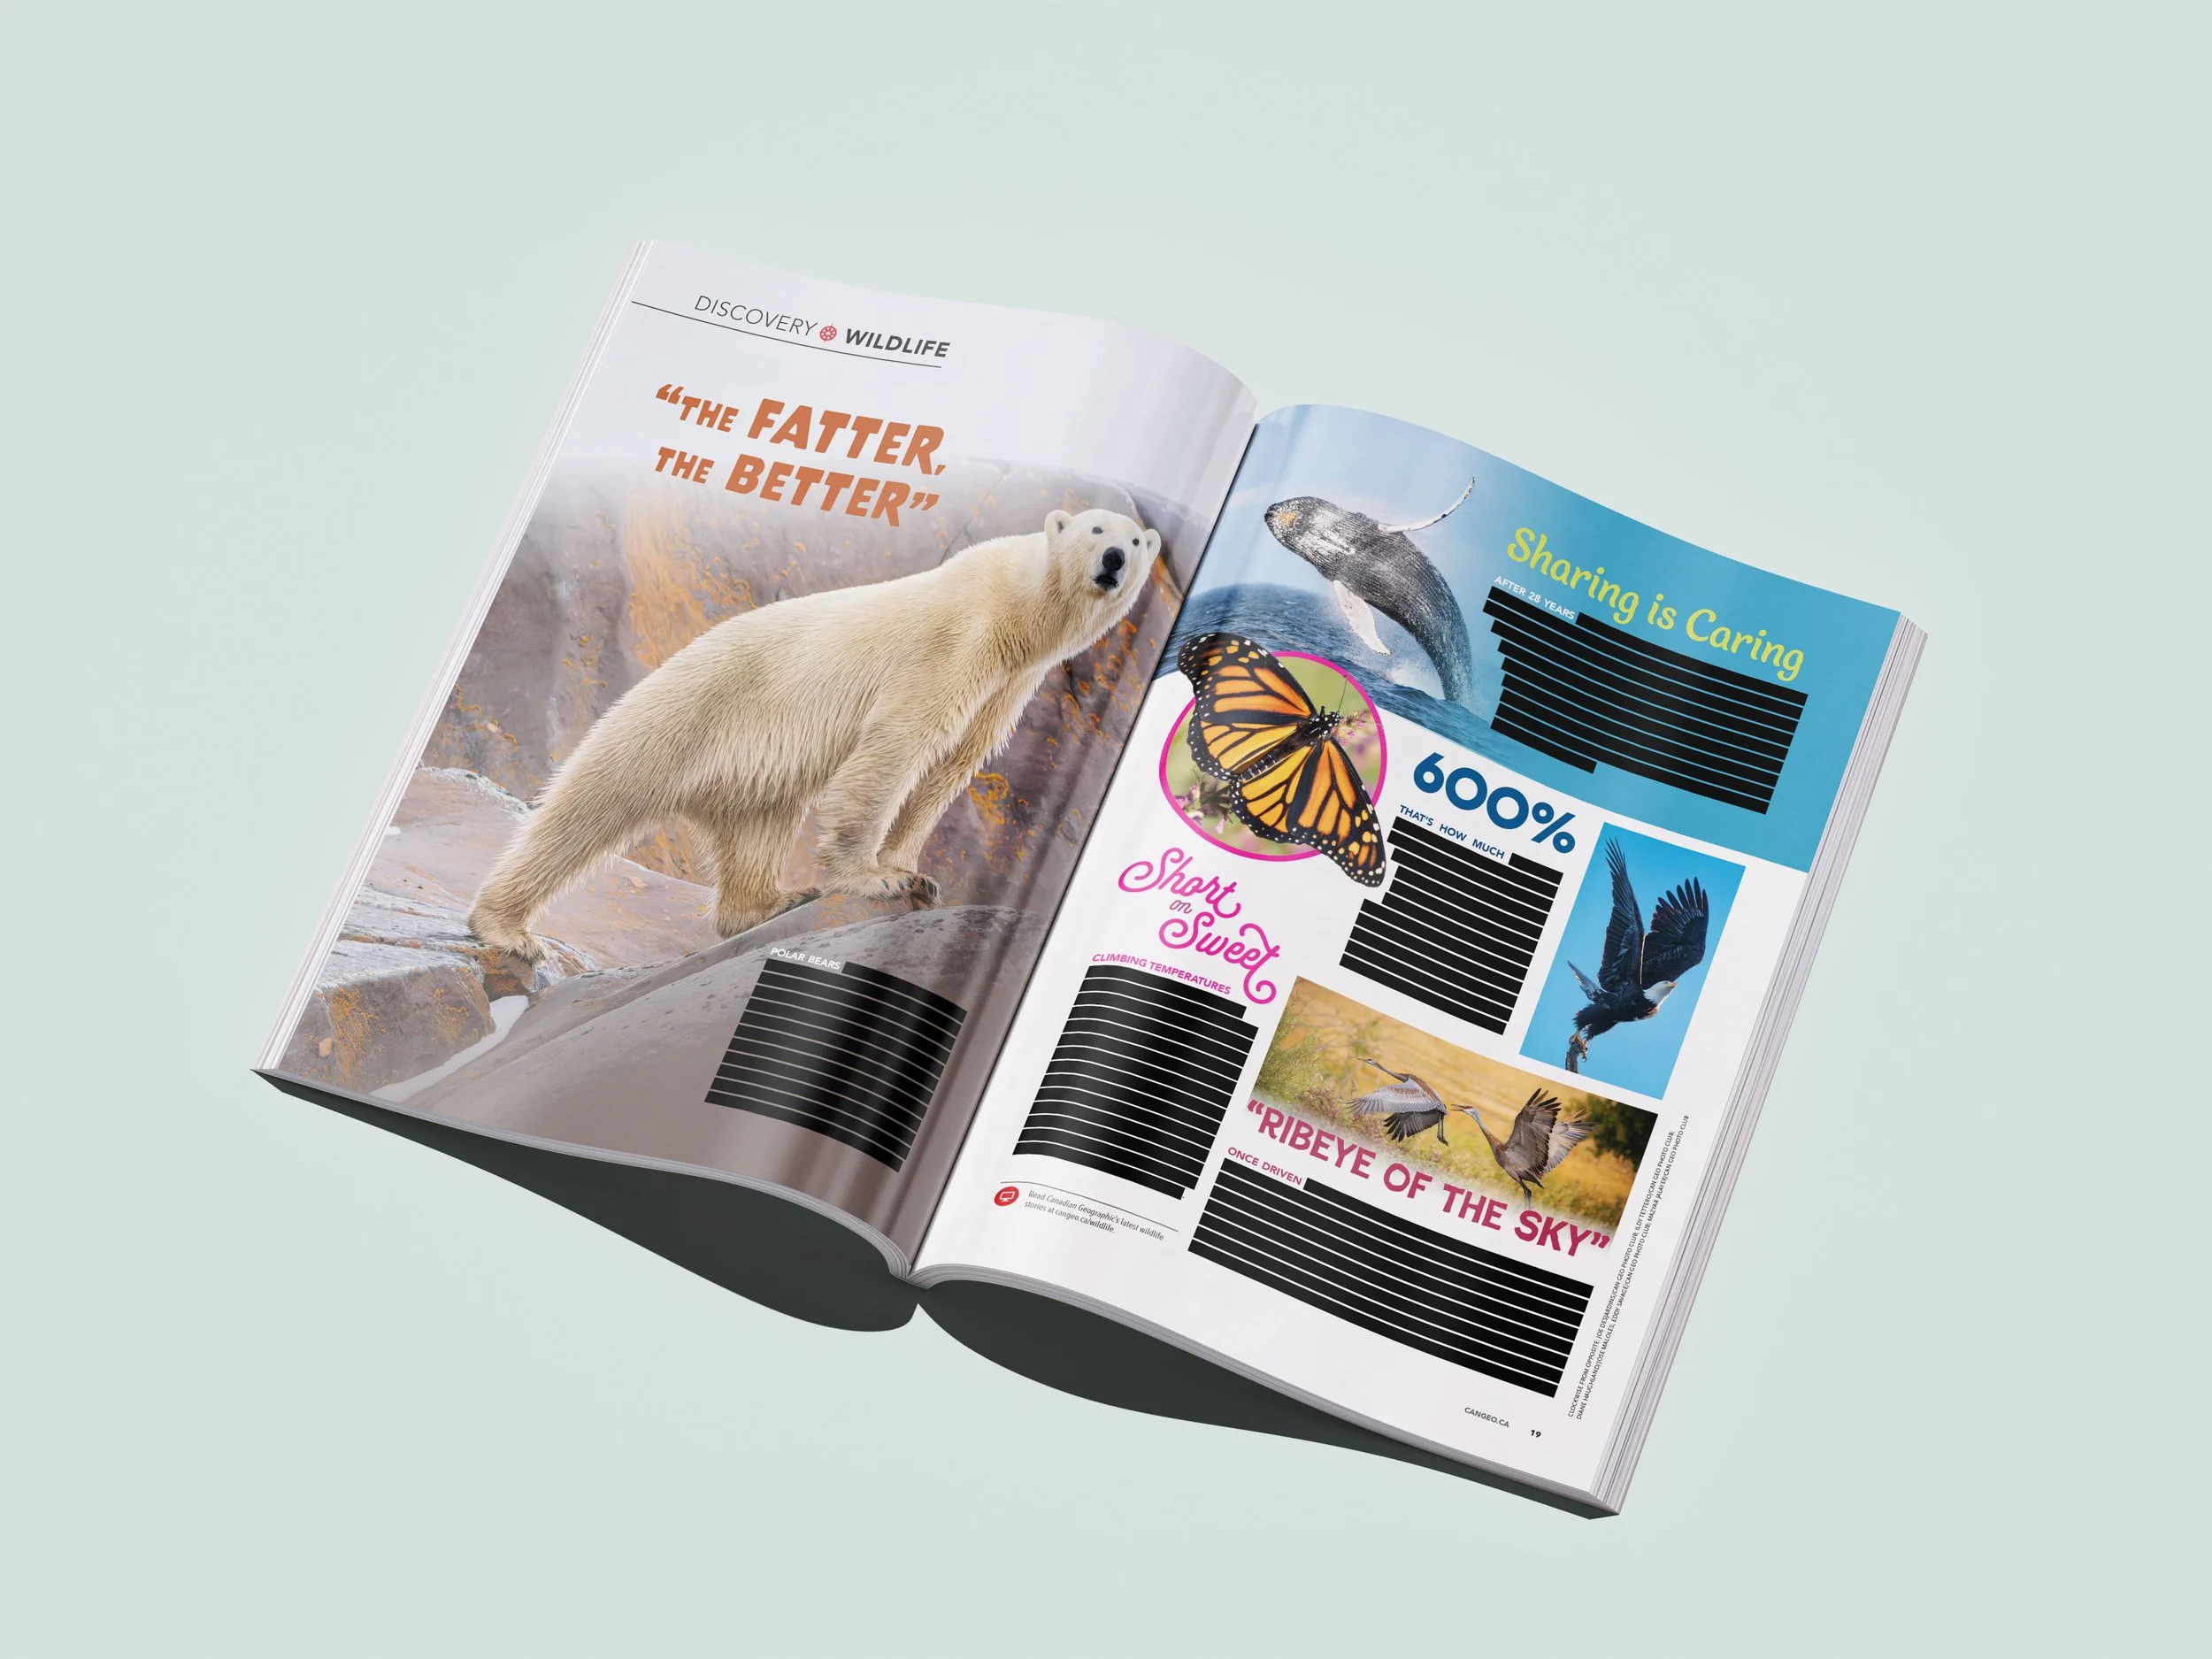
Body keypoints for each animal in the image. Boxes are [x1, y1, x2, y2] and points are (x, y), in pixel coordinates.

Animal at [467, 508, 1163, 961]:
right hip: (682, 715)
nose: (1115, 560)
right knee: (587, 807)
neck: (1017, 607)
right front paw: (876, 878)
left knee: (758, 831)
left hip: (750, 771)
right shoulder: (951, 645)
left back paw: (772, 901)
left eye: (1134, 538)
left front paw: (912, 870)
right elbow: (899, 745)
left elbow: (948, 768)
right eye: (1097, 530)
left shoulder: (1008, 685)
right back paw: (506, 928)